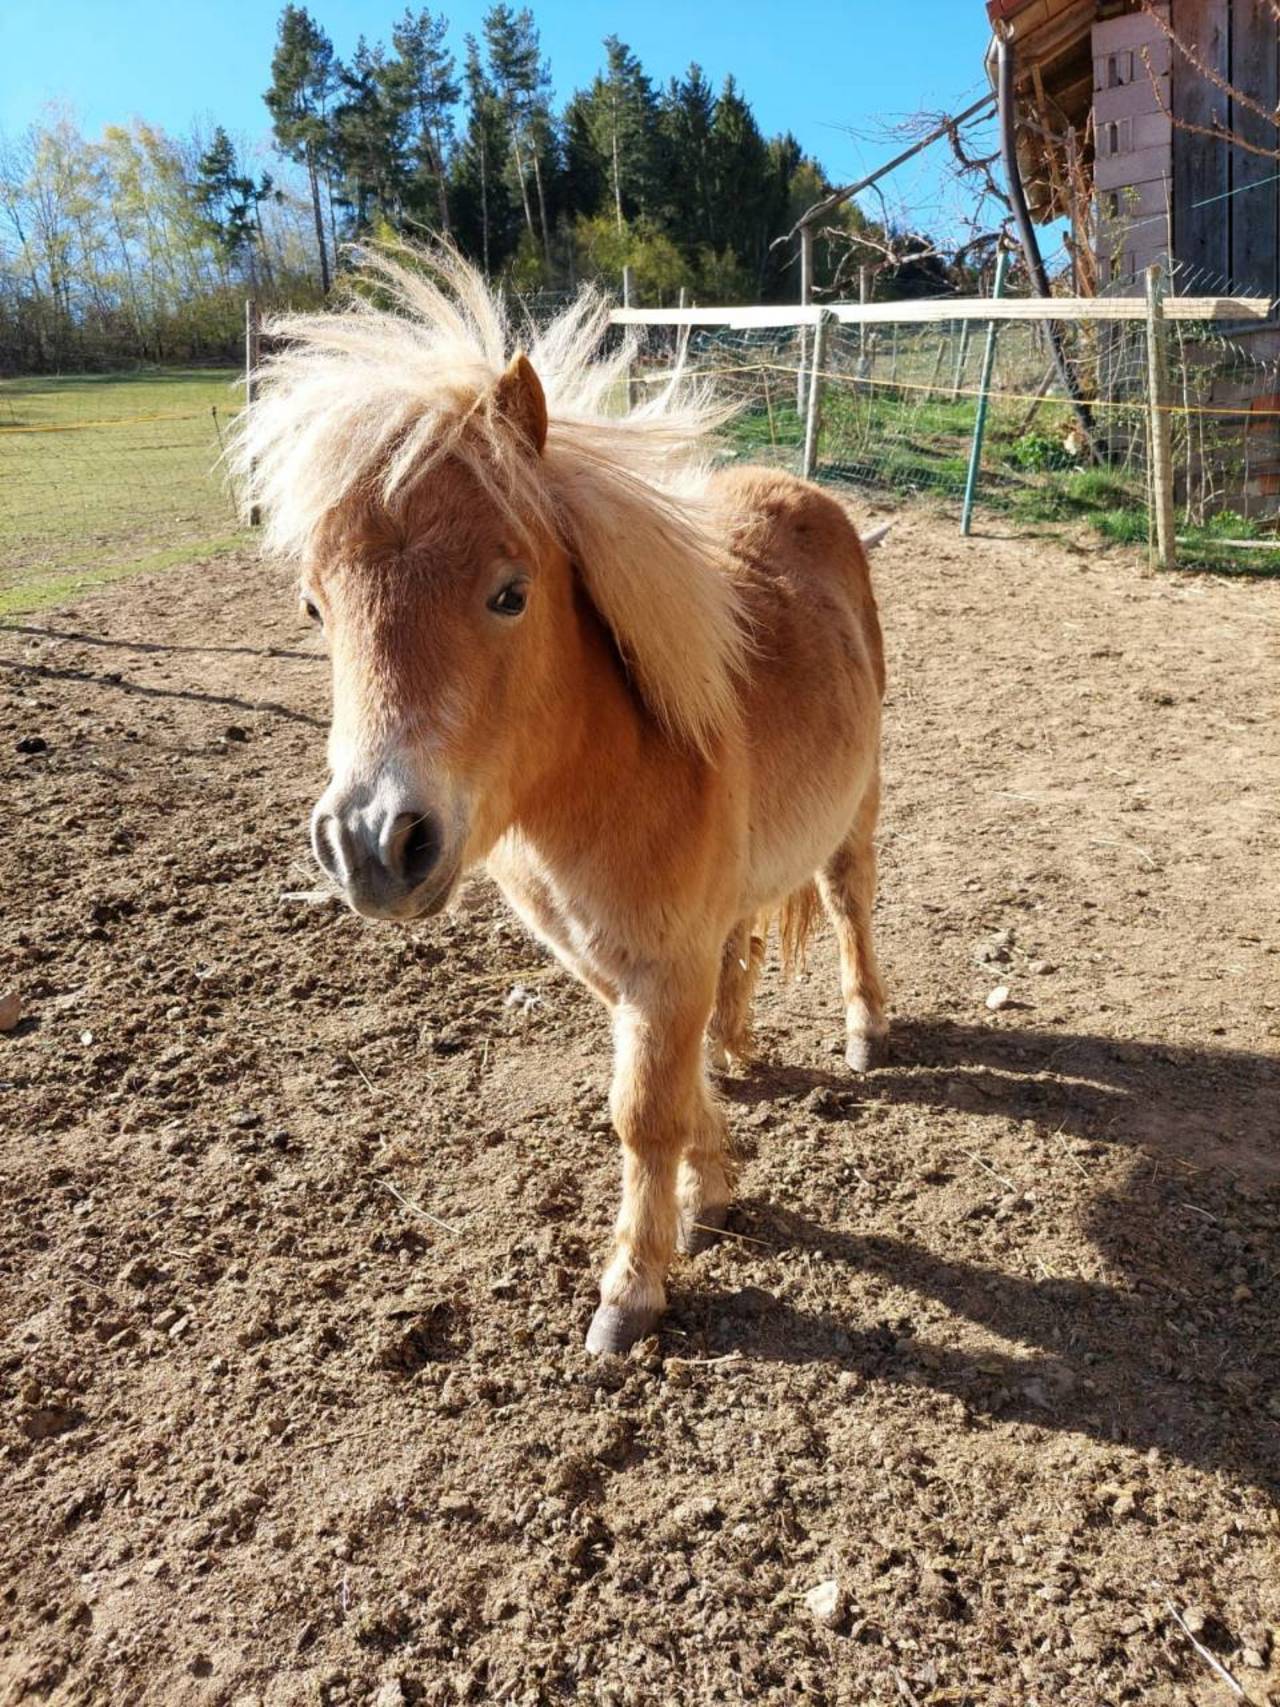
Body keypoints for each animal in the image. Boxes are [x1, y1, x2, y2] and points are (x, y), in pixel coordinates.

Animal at [233, 244, 894, 1358]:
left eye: (510, 593)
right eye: (313, 607)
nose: (371, 844)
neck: (603, 781)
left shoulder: (660, 969)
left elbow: (643, 1113)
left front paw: (632, 1288)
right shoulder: (611, 966)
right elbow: (669, 1089)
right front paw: (711, 1186)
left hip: (856, 812)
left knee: (850, 906)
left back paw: (862, 1033)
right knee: (747, 949)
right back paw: (738, 1045)